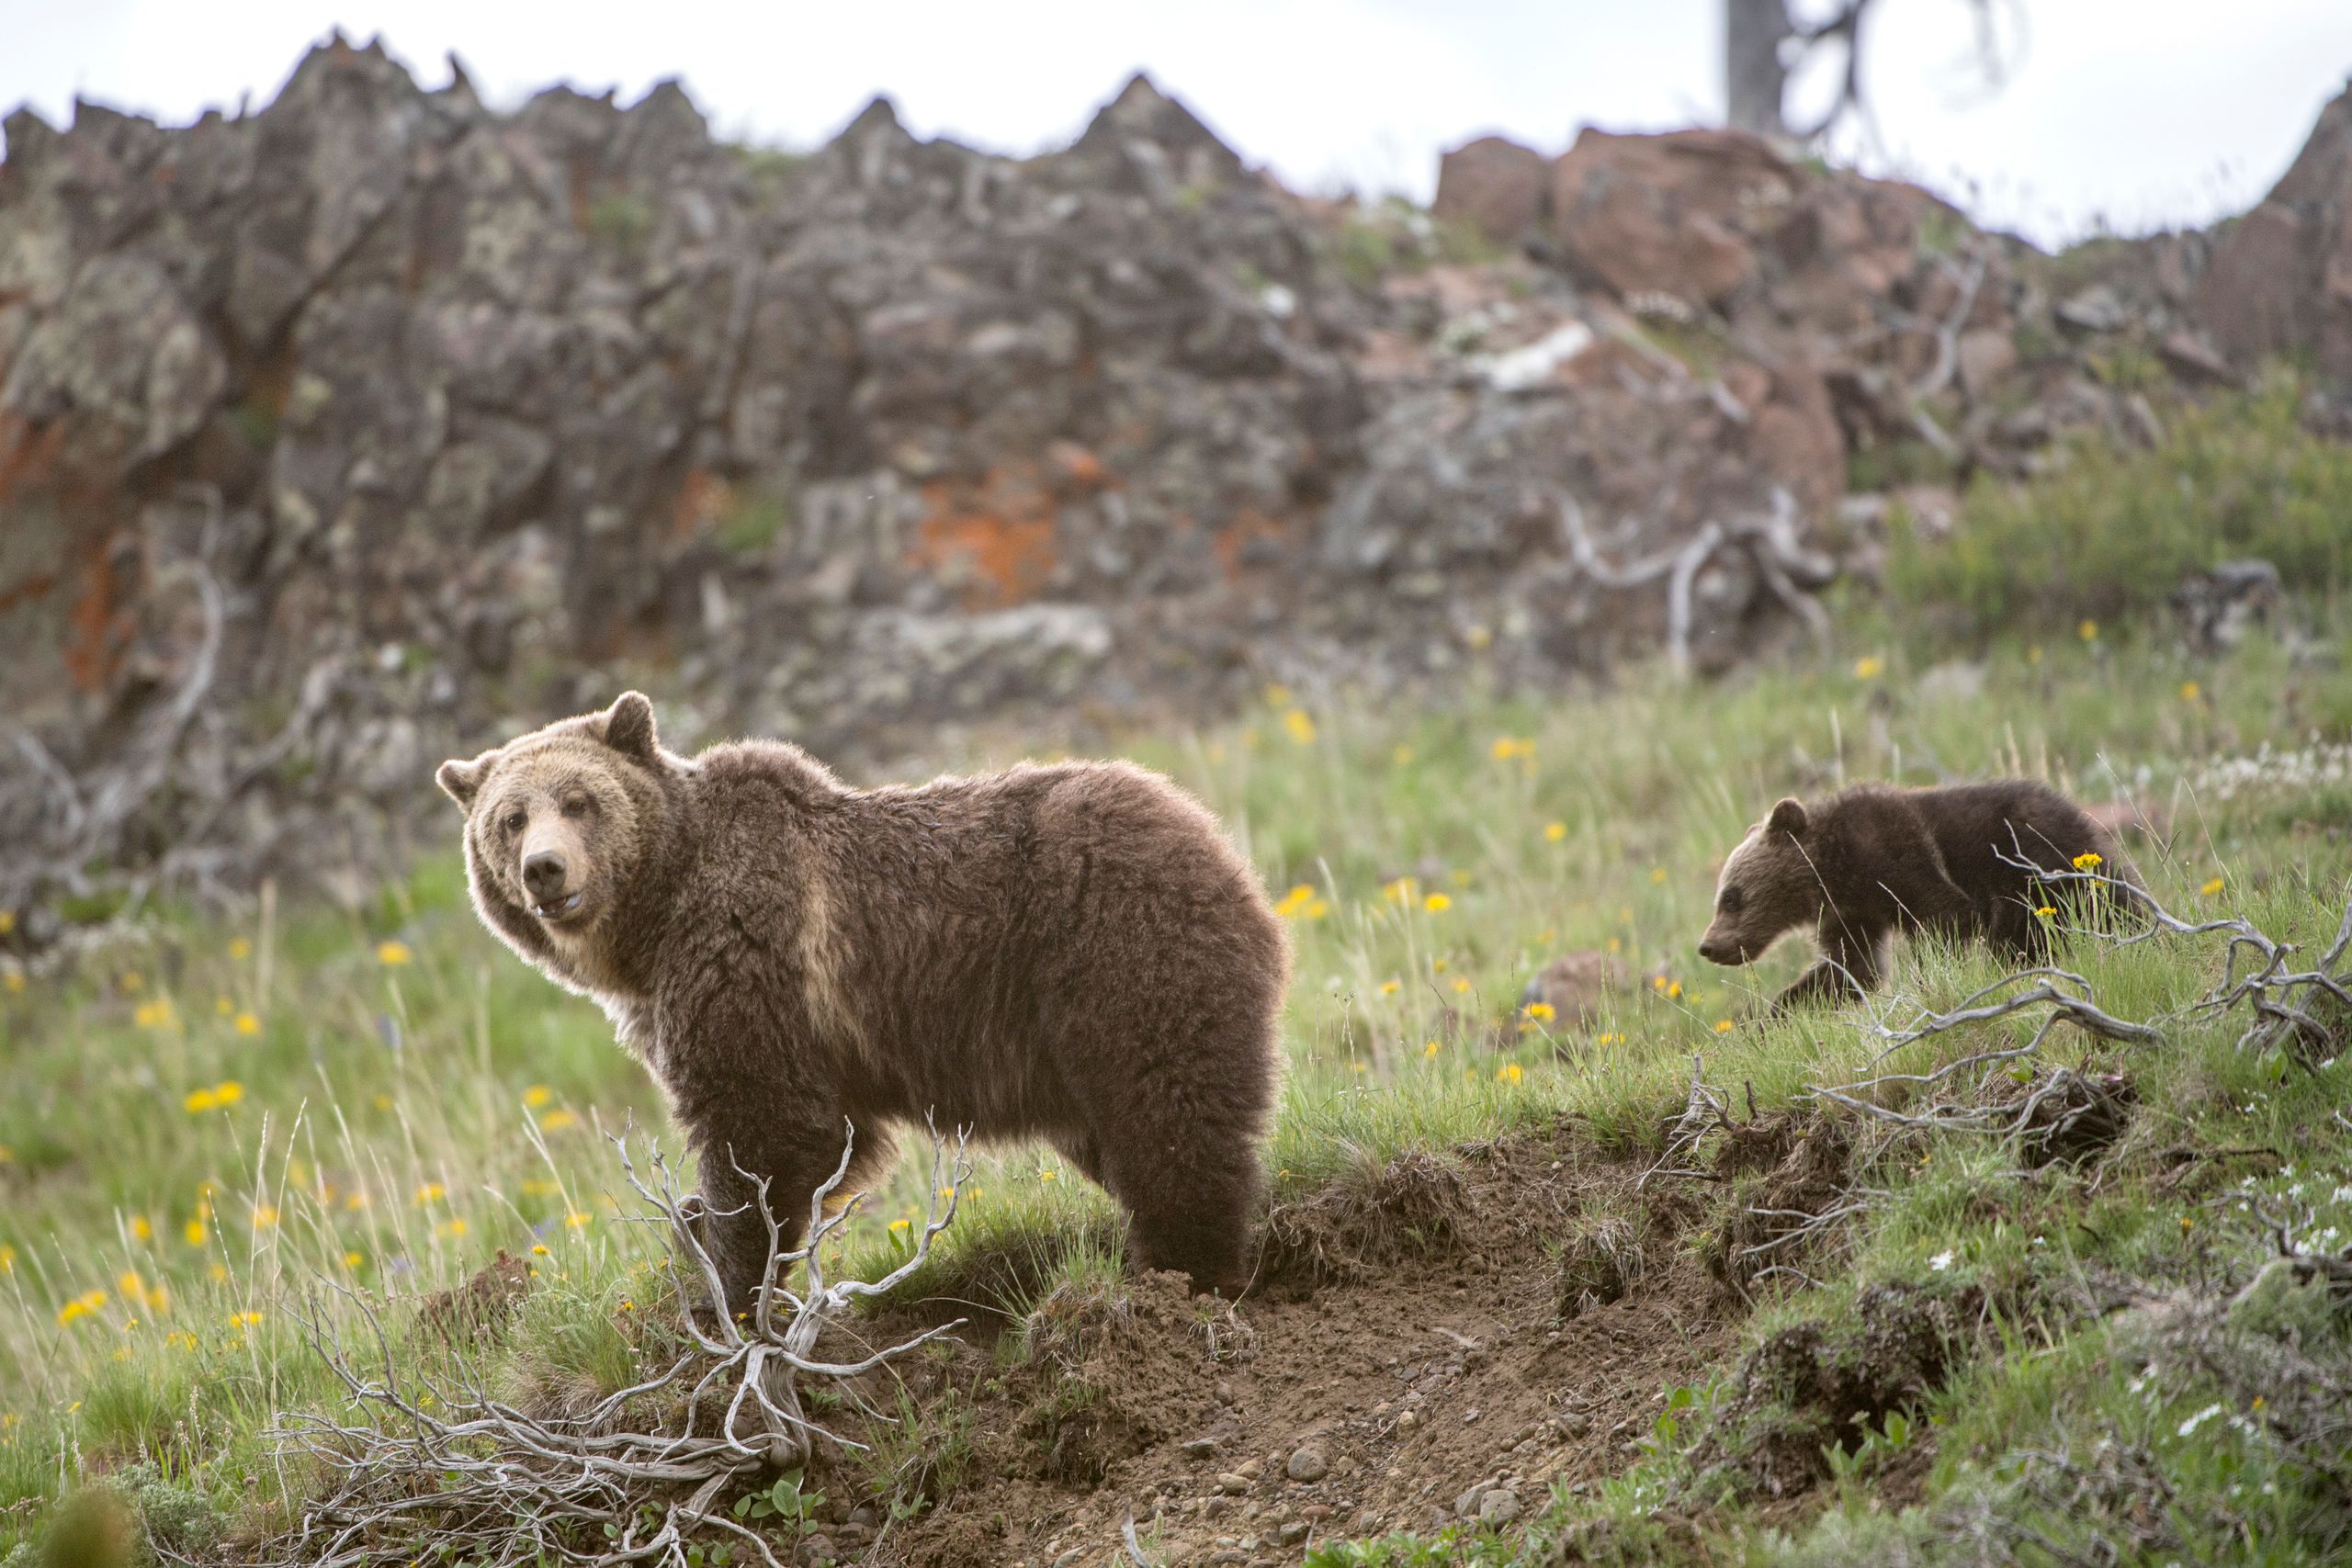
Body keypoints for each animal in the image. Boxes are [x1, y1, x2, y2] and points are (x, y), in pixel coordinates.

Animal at [436, 693, 1289, 1312]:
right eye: (510, 817)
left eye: (580, 799)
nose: (545, 868)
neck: (654, 921)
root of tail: (1221, 845)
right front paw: (697, 1240)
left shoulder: (750, 953)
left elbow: (766, 1126)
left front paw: (724, 1282)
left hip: (1118, 950)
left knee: (1166, 1110)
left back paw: (1181, 1270)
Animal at [1695, 780, 2135, 1008]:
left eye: (1731, 896)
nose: (1708, 946)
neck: (1836, 869)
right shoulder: (1852, 912)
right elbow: (1853, 968)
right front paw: (1771, 1015)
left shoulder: (1897, 853)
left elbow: (1947, 915)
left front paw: (1931, 986)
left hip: (2035, 867)